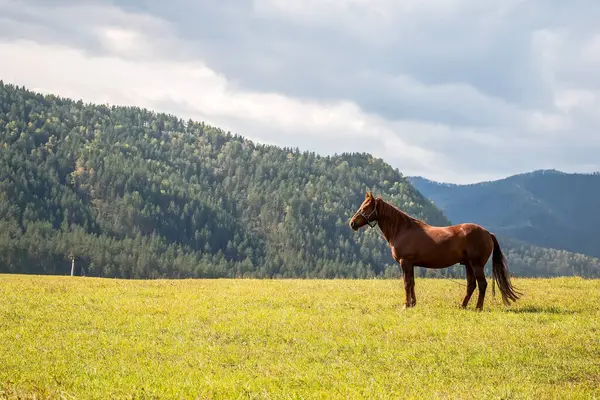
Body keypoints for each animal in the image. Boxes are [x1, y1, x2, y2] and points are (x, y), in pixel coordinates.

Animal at [350, 192, 524, 310]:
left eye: (366, 207)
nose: (352, 223)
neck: (403, 229)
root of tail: (487, 233)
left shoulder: (405, 262)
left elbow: (406, 283)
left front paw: (406, 305)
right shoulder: (411, 264)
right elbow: (412, 283)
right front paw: (413, 303)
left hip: (476, 265)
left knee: (482, 284)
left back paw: (478, 308)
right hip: (468, 265)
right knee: (471, 285)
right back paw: (462, 305)